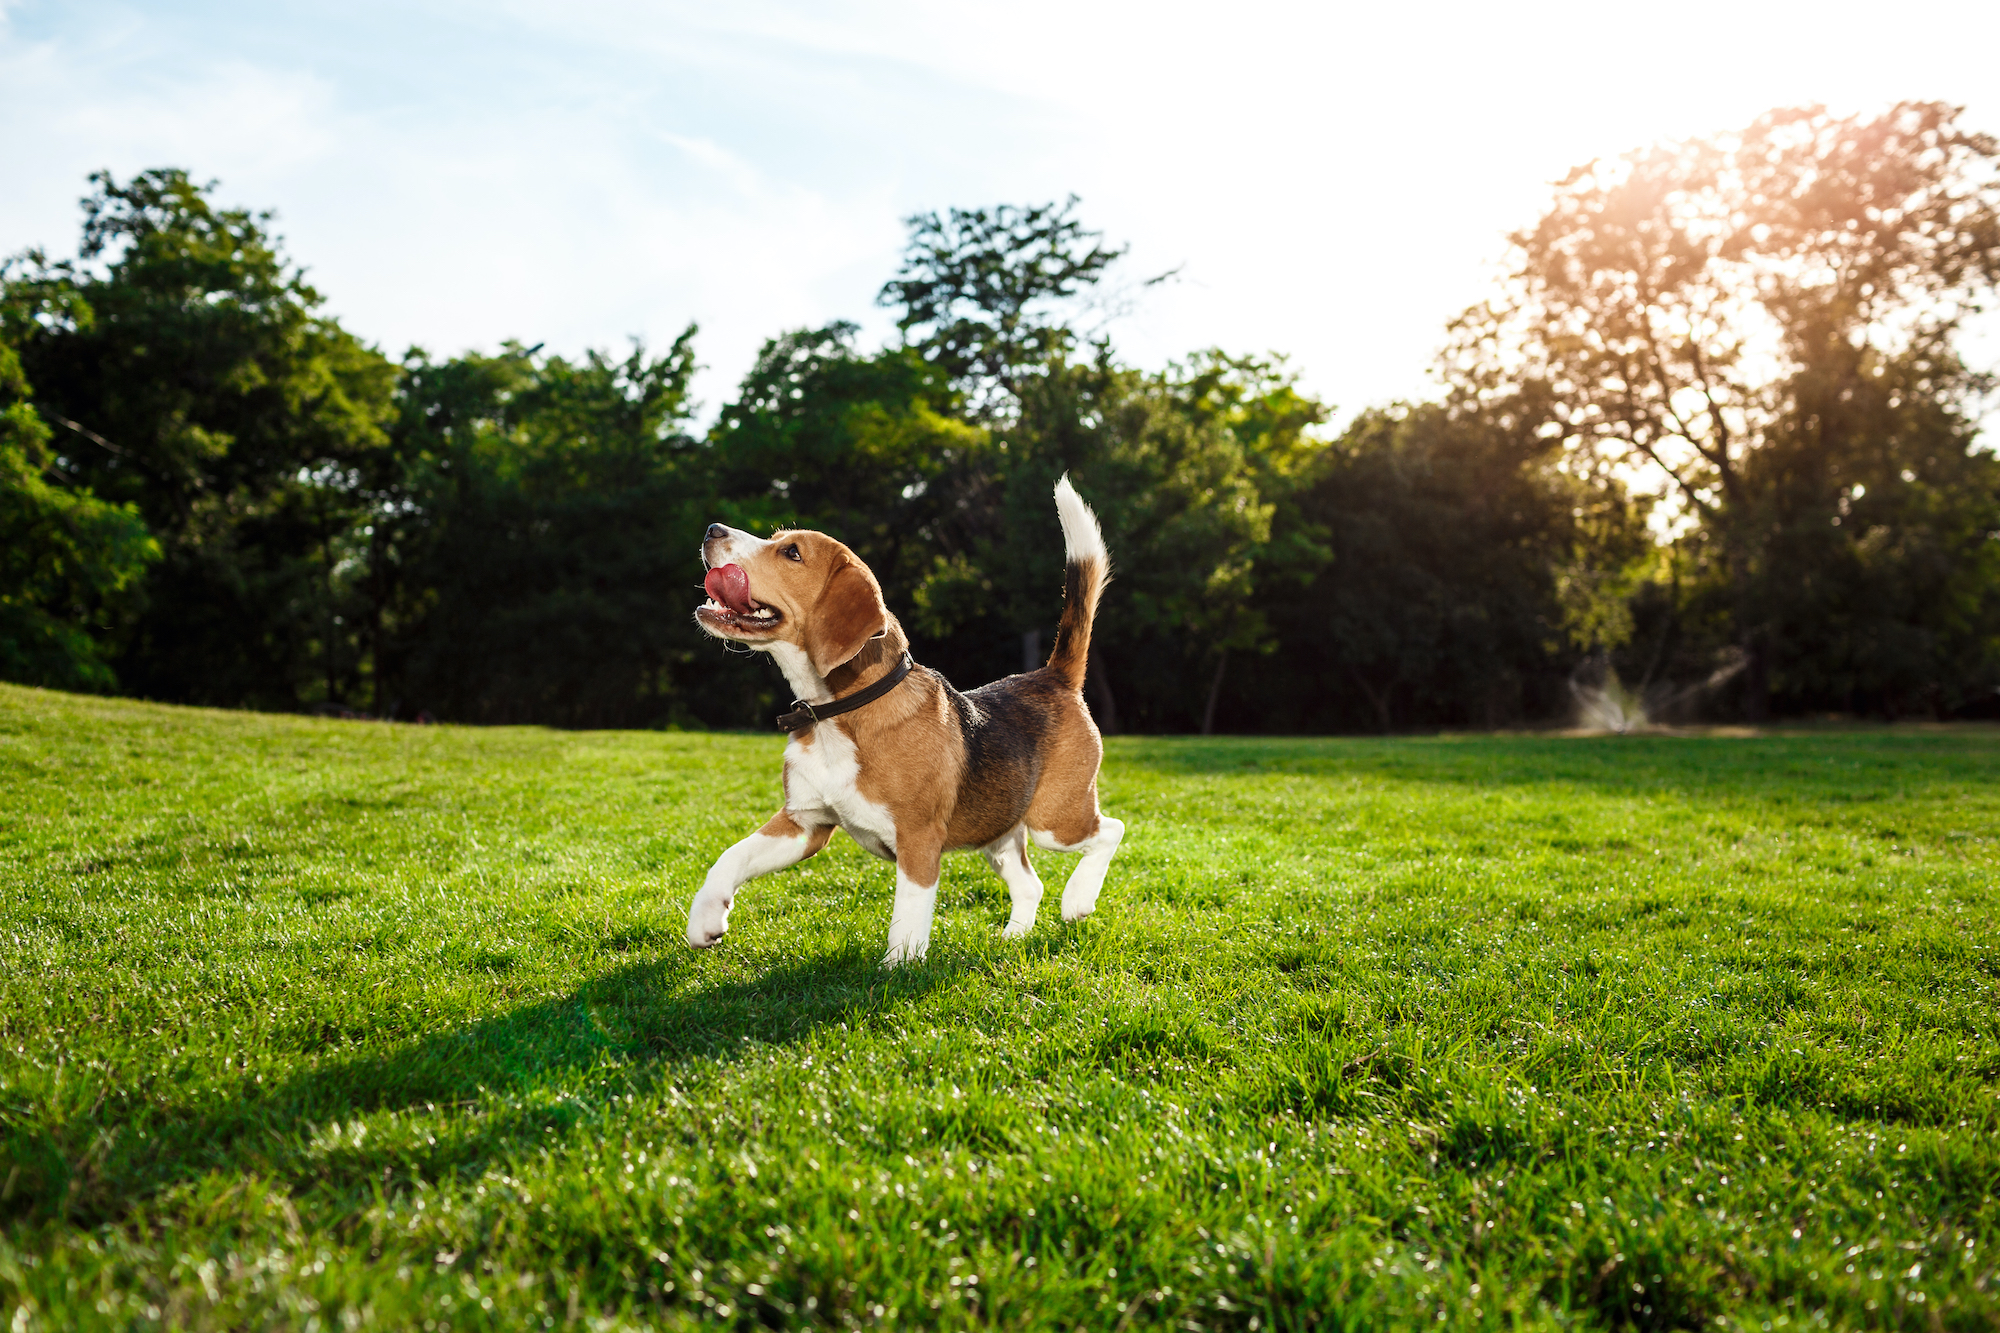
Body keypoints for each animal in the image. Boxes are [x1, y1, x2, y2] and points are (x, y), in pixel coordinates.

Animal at [688, 472, 1128, 960]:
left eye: (792, 553)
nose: (711, 529)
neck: (840, 714)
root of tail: (1052, 676)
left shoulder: (918, 840)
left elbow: (907, 919)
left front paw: (897, 969)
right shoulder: (804, 823)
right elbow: (730, 857)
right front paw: (705, 920)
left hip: (1056, 820)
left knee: (1112, 830)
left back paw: (1079, 899)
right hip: (998, 832)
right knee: (1030, 884)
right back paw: (1014, 937)